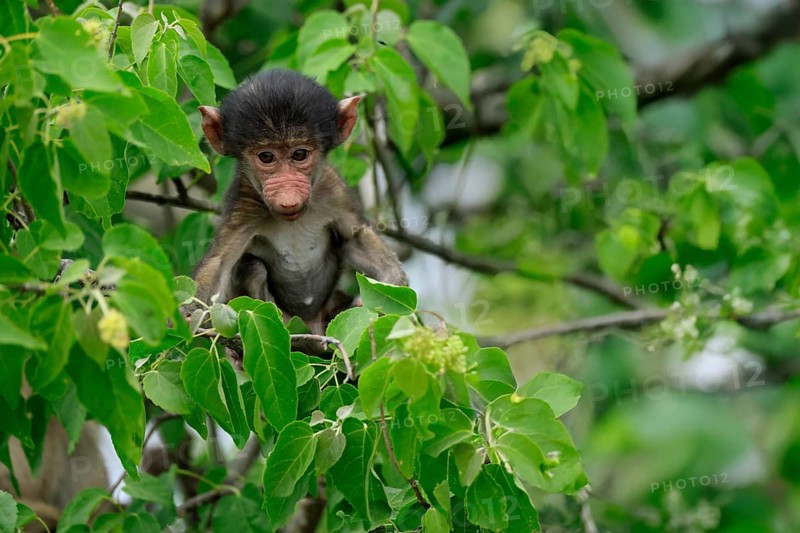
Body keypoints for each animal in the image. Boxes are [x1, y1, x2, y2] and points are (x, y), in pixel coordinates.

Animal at [193, 69, 407, 334]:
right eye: (266, 157)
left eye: (299, 154)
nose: (288, 196)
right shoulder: (244, 204)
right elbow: (219, 263)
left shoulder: (332, 190)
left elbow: (356, 238)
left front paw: (391, 294)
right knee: (252, 268)